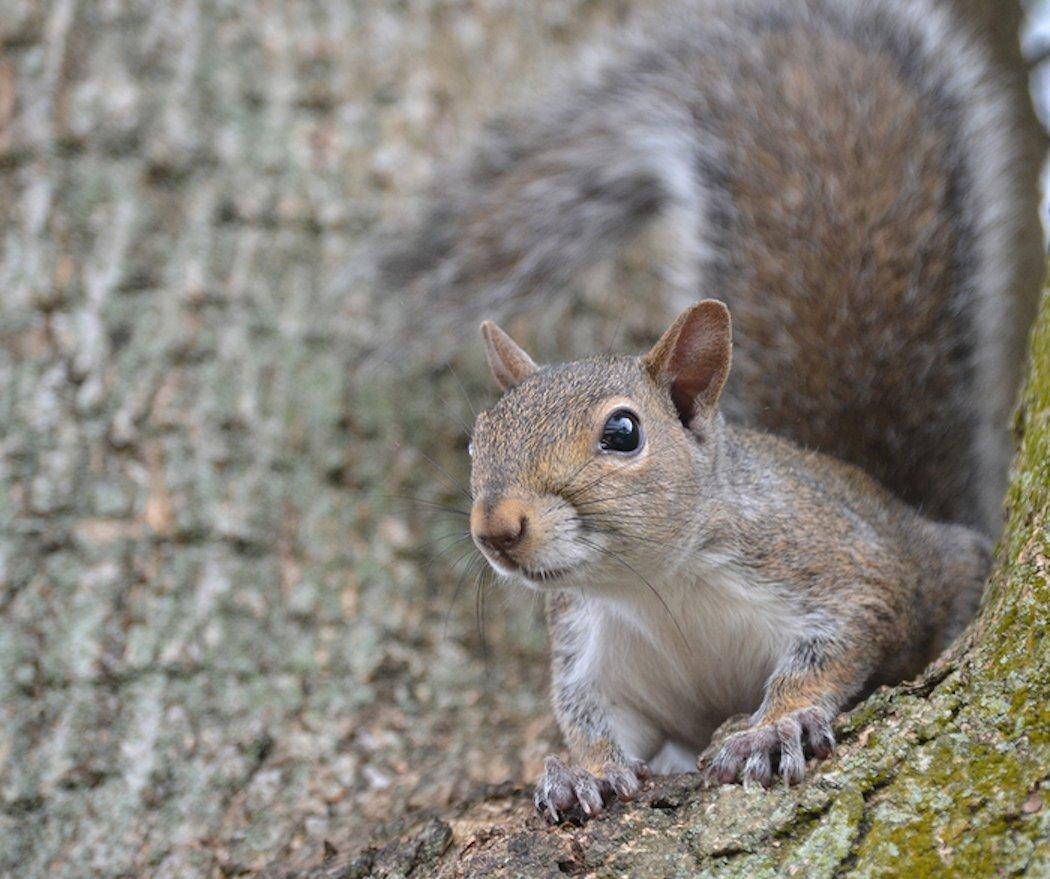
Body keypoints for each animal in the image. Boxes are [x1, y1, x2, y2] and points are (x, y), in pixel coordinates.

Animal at [375, 1, 1041, 823]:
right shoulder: (594, 651)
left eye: (622, 432)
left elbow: (837, 646)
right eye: (477, 440)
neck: (656, 586)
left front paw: (776, 725)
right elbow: (590, 718)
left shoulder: (837, 568)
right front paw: (581, 769)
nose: (496, 528)